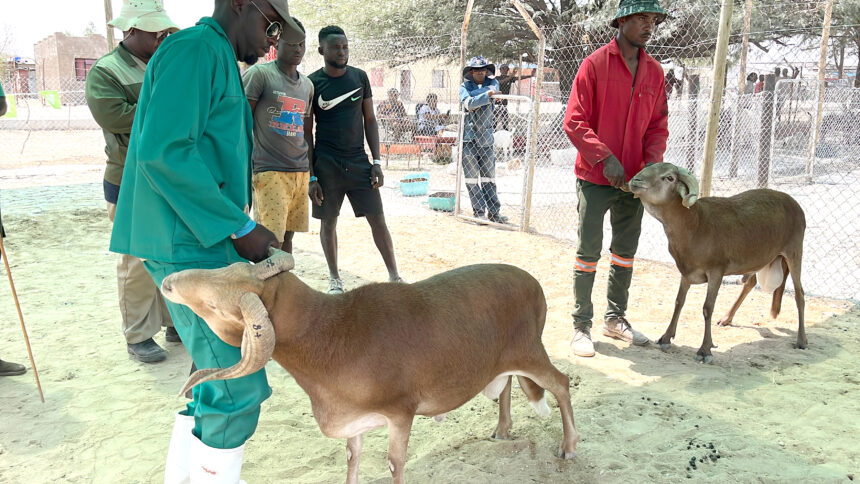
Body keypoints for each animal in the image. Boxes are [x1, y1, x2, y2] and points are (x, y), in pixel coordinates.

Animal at [161, 250, 576, 484]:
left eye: (215, 307)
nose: (168, 281)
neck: (333, 335)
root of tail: (535, 284)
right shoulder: (354, 420)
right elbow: (352, 459)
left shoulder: (400, 413)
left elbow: (394, 464)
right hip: (506, 359)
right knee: (505, 384)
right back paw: (502, 431)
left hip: (530, 351)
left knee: (560, 383)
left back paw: (569, 448)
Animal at [624, 164, 808, 364]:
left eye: (669, 178)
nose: (635, 181)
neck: (695, 224)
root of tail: (794, 203)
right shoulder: (686, 271)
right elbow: (679, 301)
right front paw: (665, 338)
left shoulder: (716, 271)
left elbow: (707, 308)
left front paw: (705, 350)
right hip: (758, 258)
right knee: (750, 283)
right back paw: (726, 318)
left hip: (794, 252)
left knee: (799, 295)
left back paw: (802, 340)